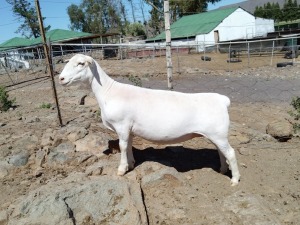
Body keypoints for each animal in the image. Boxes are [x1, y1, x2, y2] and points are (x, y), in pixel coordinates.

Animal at [59, 53, 241, 185]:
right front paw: (131, 163)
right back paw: (223, 170)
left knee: (231, 153)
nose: (61, 78)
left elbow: (122, 146)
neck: (107, 91)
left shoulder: (122, 125)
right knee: (221, 151)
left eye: (81, 64)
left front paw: (121, 169)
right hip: (216, 134)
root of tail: (222, 100)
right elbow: (129, 146)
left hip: (217, 133)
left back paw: (234, 179)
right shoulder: (129, 129)